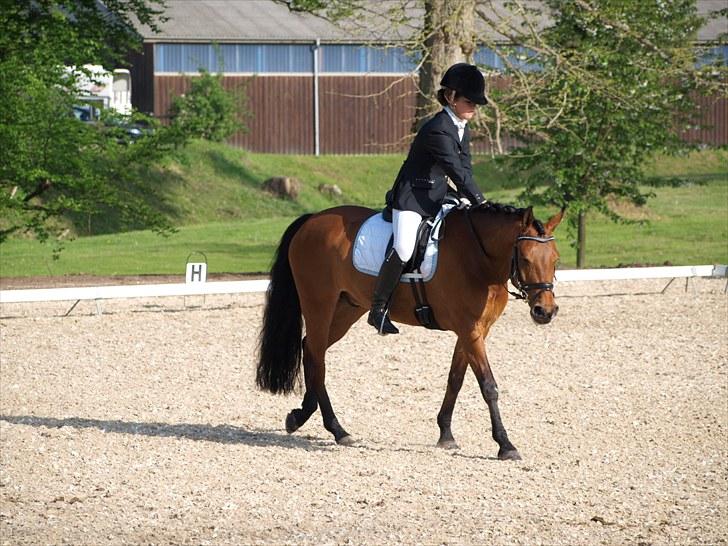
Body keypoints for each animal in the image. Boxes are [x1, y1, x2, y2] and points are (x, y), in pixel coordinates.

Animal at [256, 202, 563, 460]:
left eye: (556, 259)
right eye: (525, 259)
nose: (545, 311)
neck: (479, 258)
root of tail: (312, 220)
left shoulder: (474, 331)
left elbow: (455, 379)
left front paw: (445, 434)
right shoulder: (470, 330)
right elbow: (488, 386)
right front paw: (505, 445)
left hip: (347, 308)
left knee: (311, 350)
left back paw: (300, 416)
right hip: (319, 304)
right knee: (317, 359)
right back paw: (338, 429)